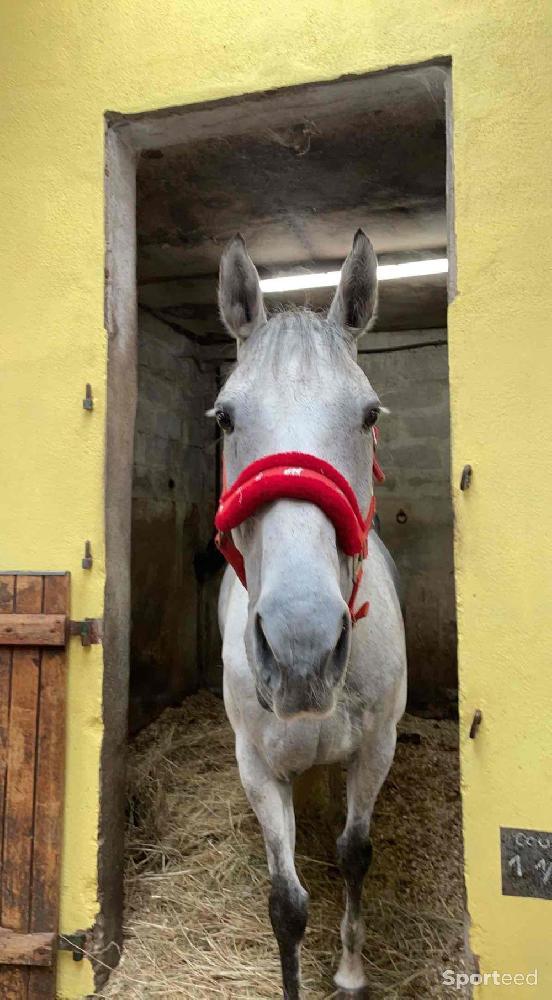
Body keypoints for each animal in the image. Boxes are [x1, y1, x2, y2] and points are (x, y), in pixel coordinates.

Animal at [213, 230, 408, 996]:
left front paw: (351, 969)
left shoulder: (378, 745)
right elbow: (286, 906)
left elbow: (356, 853)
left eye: (369, 414)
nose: (302, 651)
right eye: (226, 417)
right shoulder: (257, 768)